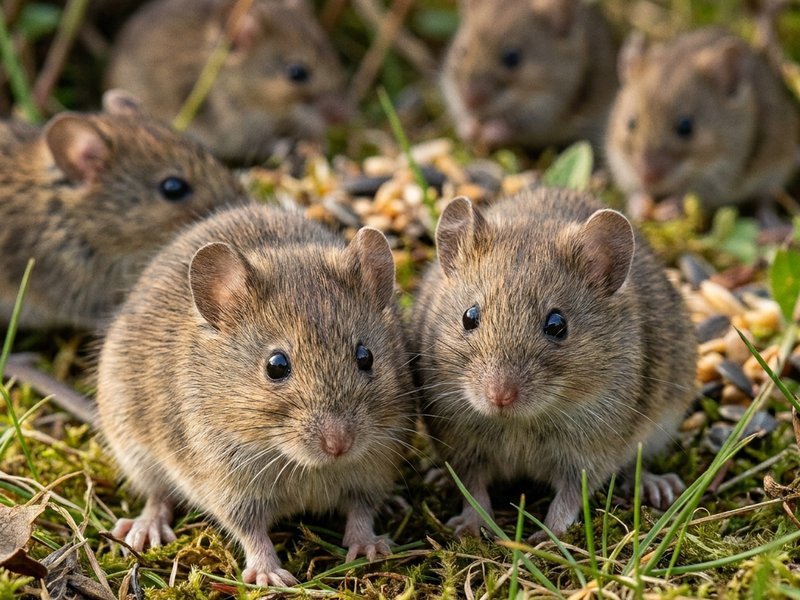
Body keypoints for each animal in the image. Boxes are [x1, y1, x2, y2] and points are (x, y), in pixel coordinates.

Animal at [96, 203, 414, 586]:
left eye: (365, 356)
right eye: (276, 366)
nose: (339, 446)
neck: (301, 464)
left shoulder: (374, 466)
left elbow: (361, 511)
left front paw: (368, 547)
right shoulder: (229, 487)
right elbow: (251, 532)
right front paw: (269, 575)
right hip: (133, 448)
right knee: (157, 495)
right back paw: (145, 529)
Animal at [106, 0, 352, 165]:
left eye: (334, 57)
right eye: (297, 72)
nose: (343, 119)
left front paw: (318, 145)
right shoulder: (234, 129)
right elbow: (265, 144)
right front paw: (287, 147)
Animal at [411, 188, 697, 538]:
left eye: (557, 325)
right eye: (469, 317)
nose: (499, 397)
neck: (520, 422)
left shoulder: (590, 452)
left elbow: (570, 498)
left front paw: (547, 538)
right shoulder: (463, 446)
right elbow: (473, 489)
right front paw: (471, 526)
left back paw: (656, 484)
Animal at [441, 0, 617, 149]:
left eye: (512, 58)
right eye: (462, 51)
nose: (470, 102)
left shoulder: (543, 113)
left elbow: (510, 128)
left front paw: (490, 131)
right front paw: (469, 129)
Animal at [605, 27, 799, 210]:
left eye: (686, 127)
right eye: (631, 123)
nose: (647, 177)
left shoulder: (718, 175)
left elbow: (685, 194)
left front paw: (669, 207)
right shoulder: (622, 164)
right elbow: (635, 191)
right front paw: (640, 205)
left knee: (765, 200)